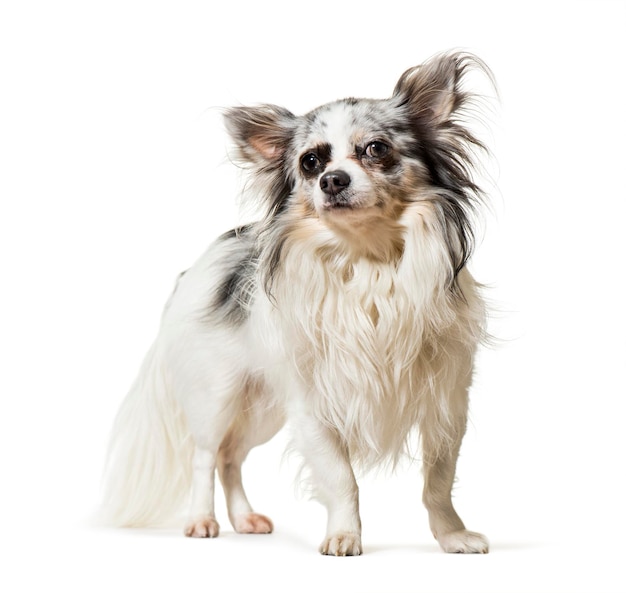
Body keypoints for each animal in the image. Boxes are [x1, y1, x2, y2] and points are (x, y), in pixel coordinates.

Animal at [101, 51, 492, 556]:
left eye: (377, 149)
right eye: (310, 162)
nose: (331, 180)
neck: (368, 259)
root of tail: (196, 268)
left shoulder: (446, 402)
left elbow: (439, 480)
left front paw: (453, 536)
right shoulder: (313, 406)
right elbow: (342, 479)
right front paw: (344, 535)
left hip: (261, 409)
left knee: (231, 457)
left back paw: (244, 519)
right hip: (217, 397)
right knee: (204, 455)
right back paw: (203, 520)